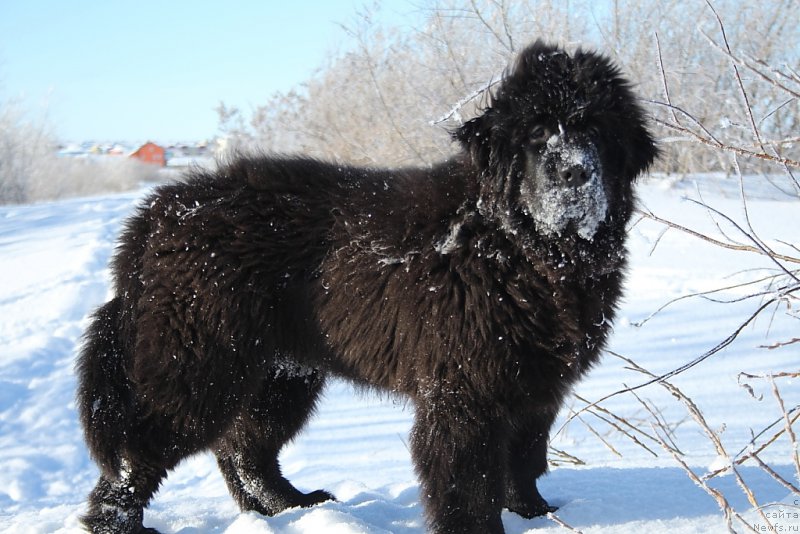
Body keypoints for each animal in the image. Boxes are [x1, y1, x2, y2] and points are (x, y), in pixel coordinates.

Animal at [78, 39, 656, 532]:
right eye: (537, 134)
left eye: (597, 131)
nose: (574, 174)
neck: (522, 249)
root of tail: (160, 211)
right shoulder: (465, 389)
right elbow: (468, 477)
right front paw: (480, 529)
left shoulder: (535, 384)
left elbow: (524, 459)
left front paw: (538, 516)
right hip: (197, 362)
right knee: (137, 451)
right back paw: (119, 521)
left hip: (282, 371)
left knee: (244, 448)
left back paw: (290, 506)